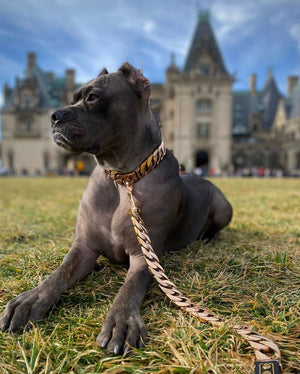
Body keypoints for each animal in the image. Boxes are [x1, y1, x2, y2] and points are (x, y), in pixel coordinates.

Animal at [0, 62, 233, 356]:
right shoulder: (84, 248)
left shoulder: (144, 256)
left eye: (93, 97)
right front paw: (31, 299)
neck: (122, 179)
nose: (53, 116)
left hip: (224, 208)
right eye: (73, 98)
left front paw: (121, 321)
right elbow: (58, 274)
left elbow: (128, 289)